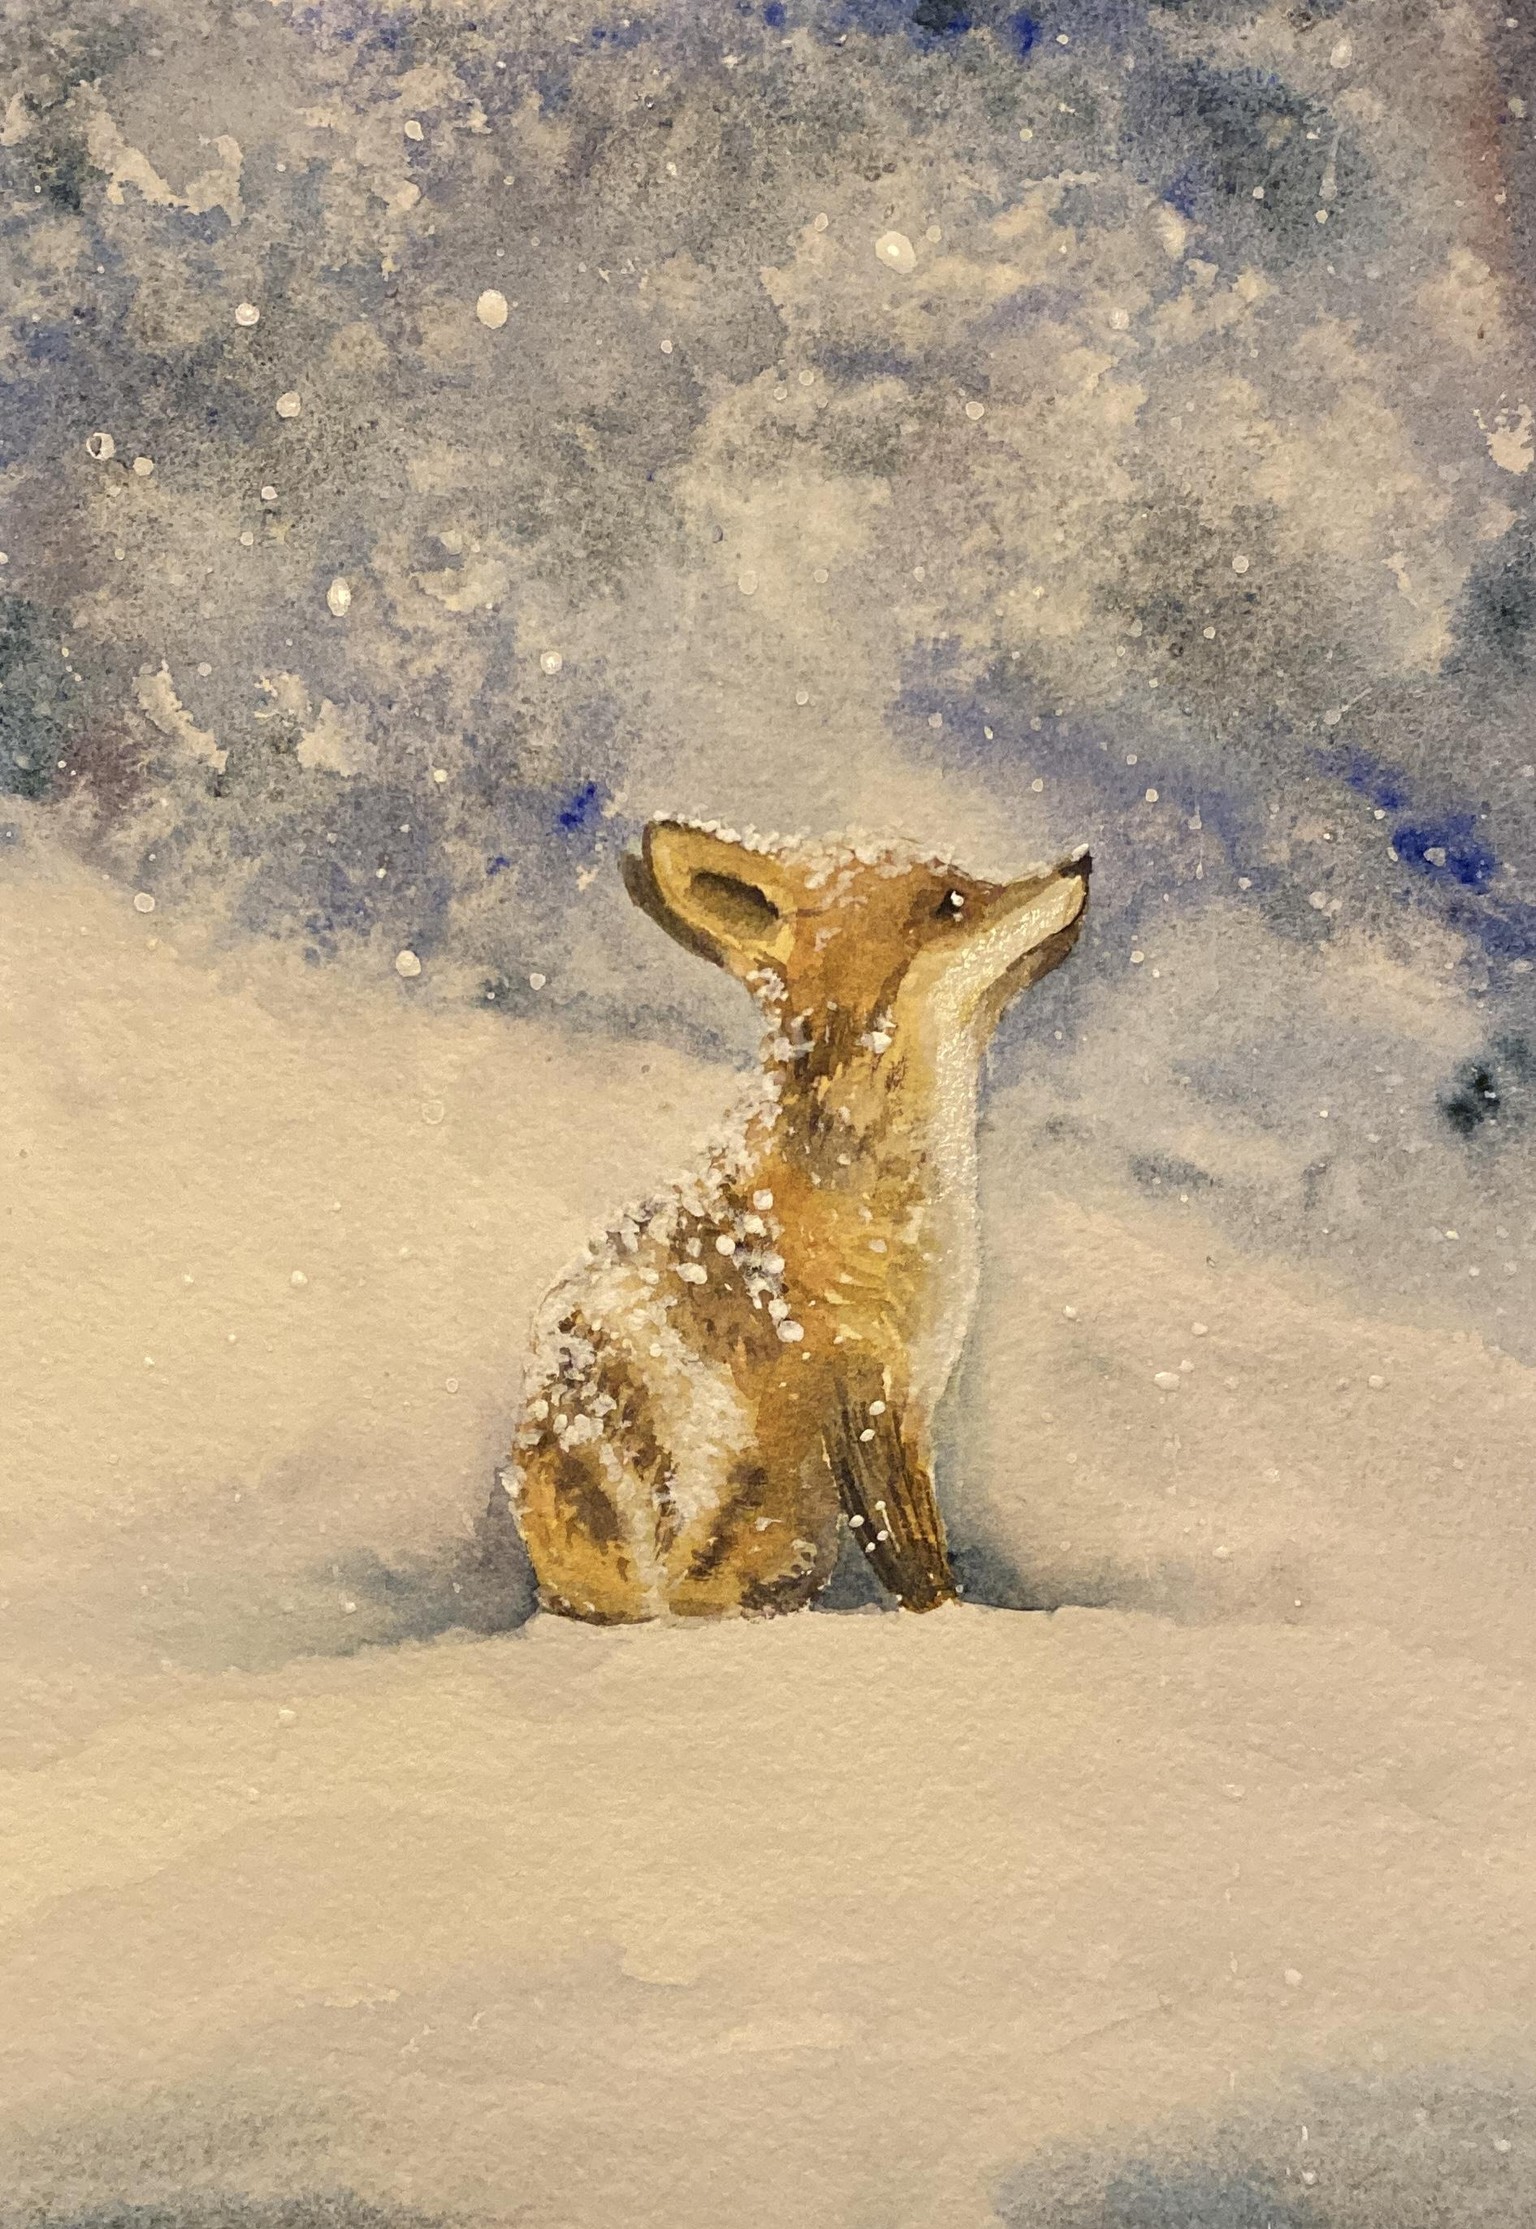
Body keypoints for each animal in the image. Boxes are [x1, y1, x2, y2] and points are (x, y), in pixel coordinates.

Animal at [507, 818, 1091, 1623]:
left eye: (970, 880)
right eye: (950, 902)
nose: (1082, 861)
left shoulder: (908, 1398)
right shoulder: (864, 1391)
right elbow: (916, 1560)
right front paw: (952, 1623)